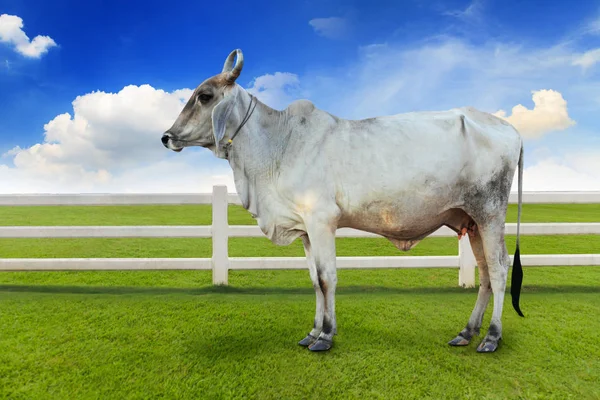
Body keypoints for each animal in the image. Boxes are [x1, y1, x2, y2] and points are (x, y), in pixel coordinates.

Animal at [162, 48, 524, 352]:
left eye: (205, 96)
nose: (166, 137)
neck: (277, 145)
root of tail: (511, 130)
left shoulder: (322, 221)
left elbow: (327, 278)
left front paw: (325, 335)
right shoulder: (306, 230)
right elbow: (313, 280)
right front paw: (312, 331)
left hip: (490, 213)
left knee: (499, 268)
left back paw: (491, 337)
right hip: (472, 221)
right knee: (484, 273)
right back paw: (467, 331)